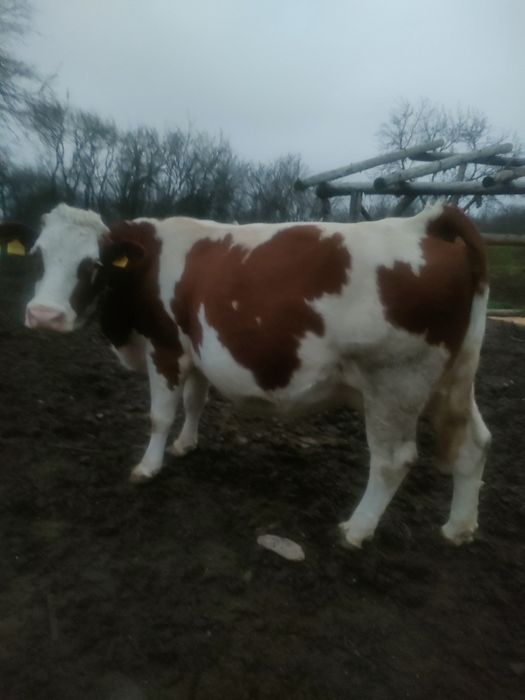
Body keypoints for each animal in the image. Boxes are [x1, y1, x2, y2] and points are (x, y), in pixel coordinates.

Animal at [25, 202, 491, 548]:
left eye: (94, 264)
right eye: (38, 256)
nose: (44, 315)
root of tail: (425, 222)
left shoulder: (165, 349)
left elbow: (159, 416)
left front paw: (148, 467)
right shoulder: (198, 352)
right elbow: (195, 402)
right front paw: (185, 445)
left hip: (395, 383)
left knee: (394, 460)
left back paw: (356, 530)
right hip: (451, 380)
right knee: (475, 443)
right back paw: (458, 527)